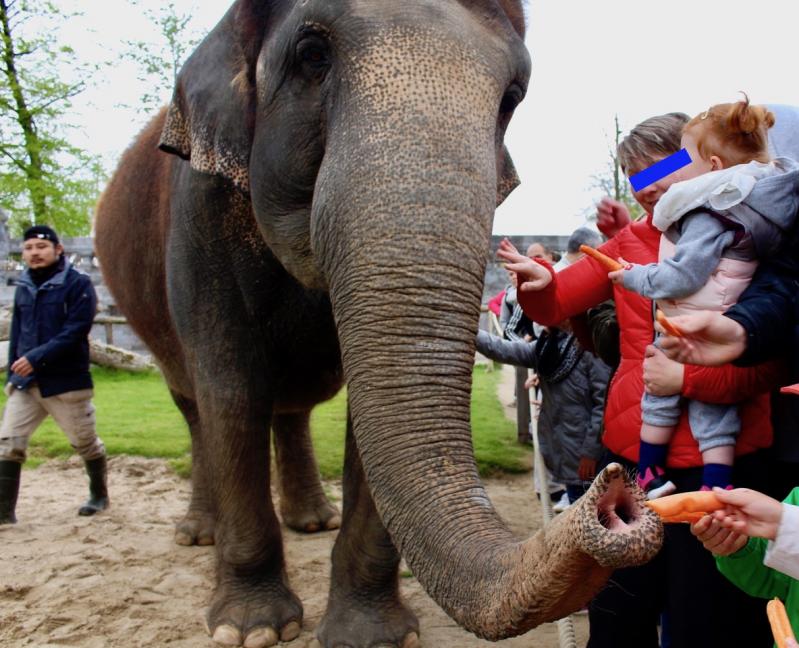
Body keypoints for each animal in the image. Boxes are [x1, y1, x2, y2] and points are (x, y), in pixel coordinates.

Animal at [94, 1, 664, 648]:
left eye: (513, 97)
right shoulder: (199, 211)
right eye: (312, 54)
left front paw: (373, 637)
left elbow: (363, 416)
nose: (615, 495)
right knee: (196, 404)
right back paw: (200, 534)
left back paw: (312, 520)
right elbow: (232, 388)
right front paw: (251, 629)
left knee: (287, 410)